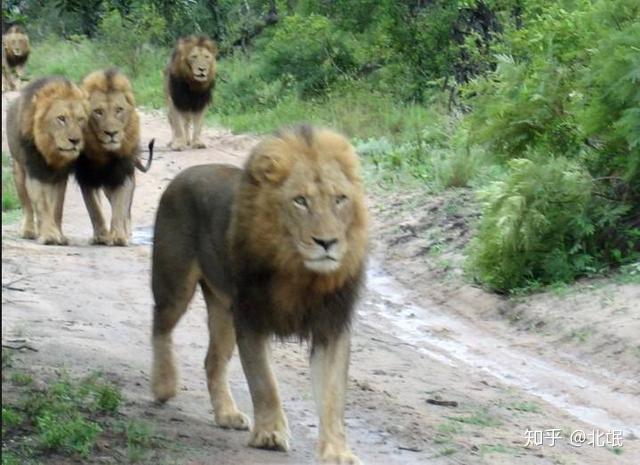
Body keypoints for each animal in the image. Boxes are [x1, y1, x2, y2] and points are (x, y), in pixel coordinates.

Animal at [74, 69, 154, 246]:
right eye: (98, 112)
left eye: (119, 110)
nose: (111, 133)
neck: (104, 154)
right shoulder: (86, 178)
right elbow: (94, 208)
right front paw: (101, 236)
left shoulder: (123, 175)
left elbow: (120, 207)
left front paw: (118, 237)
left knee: (126, 210)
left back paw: (127, 234)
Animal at [151, 125, 370, 462]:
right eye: (300, 201)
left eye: (340, 199)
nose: (327, 242)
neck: (300, 271)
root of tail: (184, 174)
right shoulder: (252, 319)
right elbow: (264, 382)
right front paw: (270, 434)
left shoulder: (331, 326)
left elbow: (333, 397)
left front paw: (337, 452)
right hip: (175, 284)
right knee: (160, 326)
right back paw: (163, 385)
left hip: (223, 310)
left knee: (213, 361)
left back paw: (226, 414)